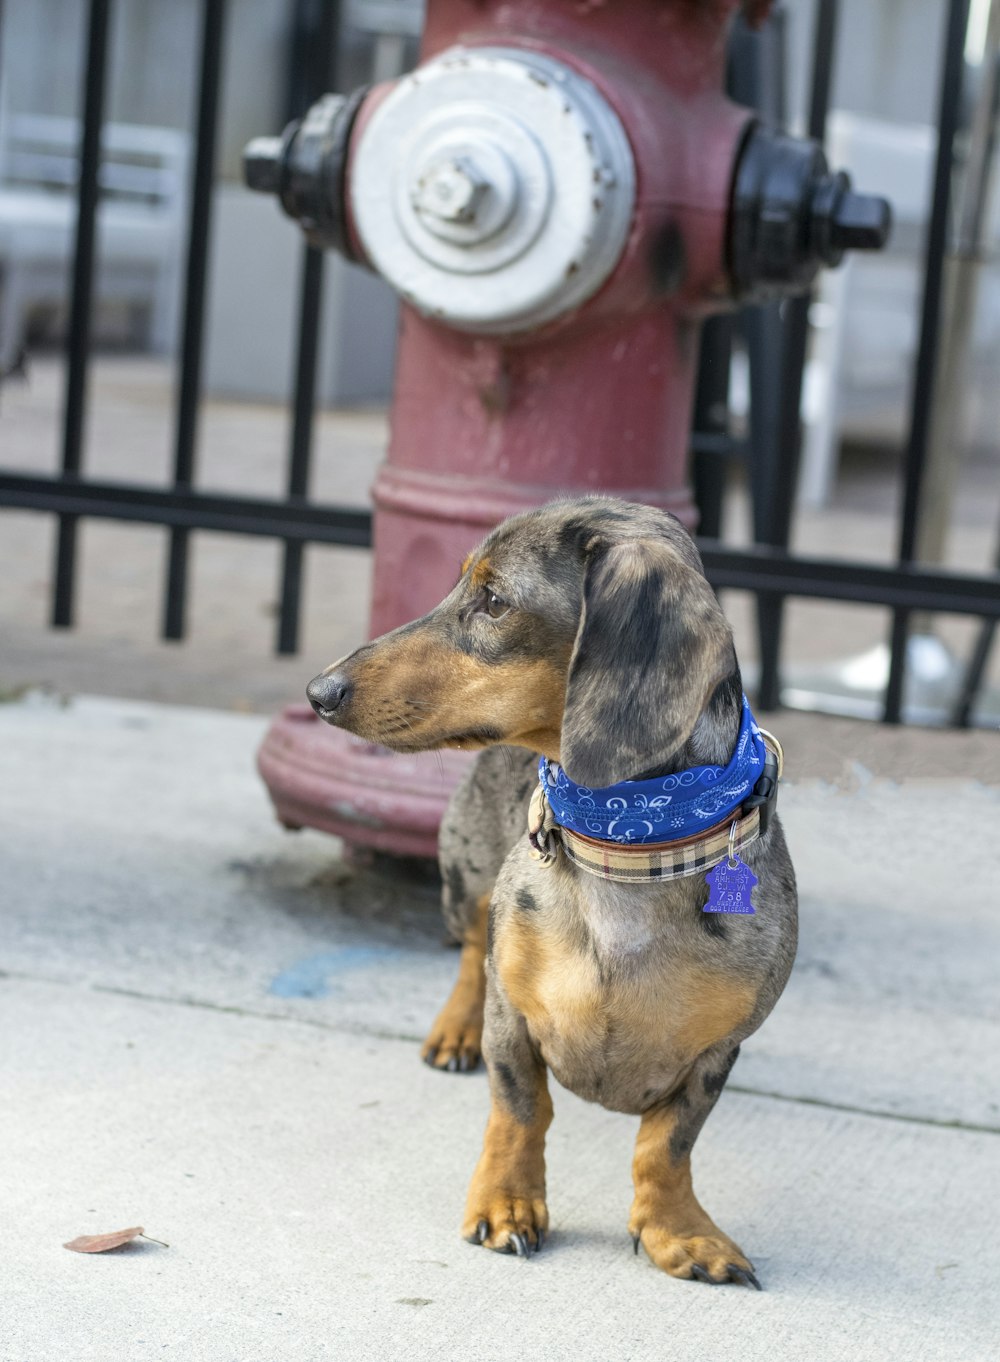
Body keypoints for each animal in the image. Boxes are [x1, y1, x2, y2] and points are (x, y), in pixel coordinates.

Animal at [305, 498, 801, 1285]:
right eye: (460, 584)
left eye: (494, 600)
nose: (318, 692)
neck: (631, 844)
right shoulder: (514, 1017)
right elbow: (521, 1110)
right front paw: (506, 1203)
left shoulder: (717, 1053)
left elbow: (668, 1145)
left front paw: (680, 1232)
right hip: (465, 881)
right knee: (469, 950)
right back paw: (454, 1030)